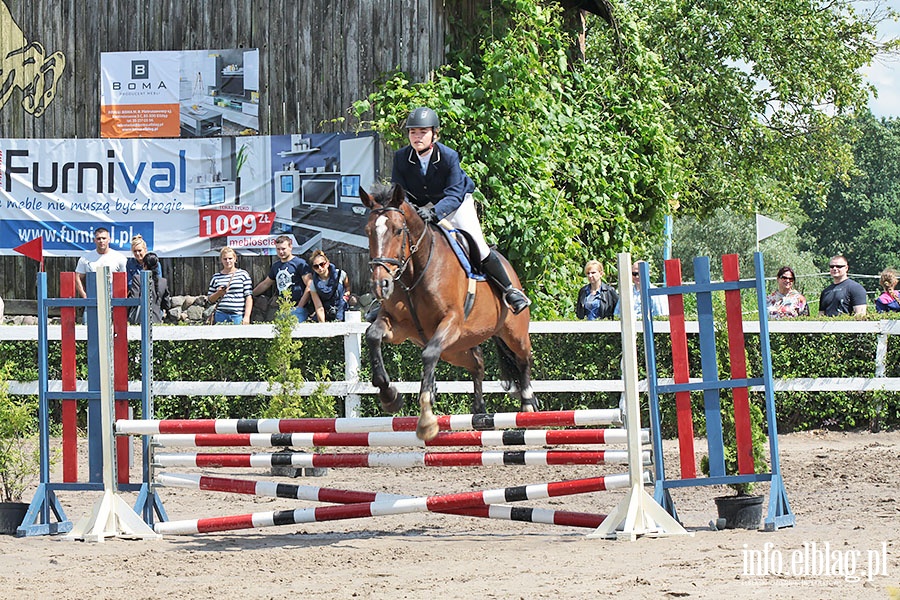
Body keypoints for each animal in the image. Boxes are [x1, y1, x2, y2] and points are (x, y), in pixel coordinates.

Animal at [362, 183, 536, 440]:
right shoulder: (398, 325)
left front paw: (426, 420)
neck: (414, 272)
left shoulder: (451, 321)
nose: (380, 285)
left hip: (513, 333)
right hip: (455, 349)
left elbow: (428, 354)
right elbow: (373, 336)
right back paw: (480, 412)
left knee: (523, 361)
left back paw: (527, 407)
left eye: (397, 230)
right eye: (368, 231)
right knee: (477, 363)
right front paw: (389, 396)